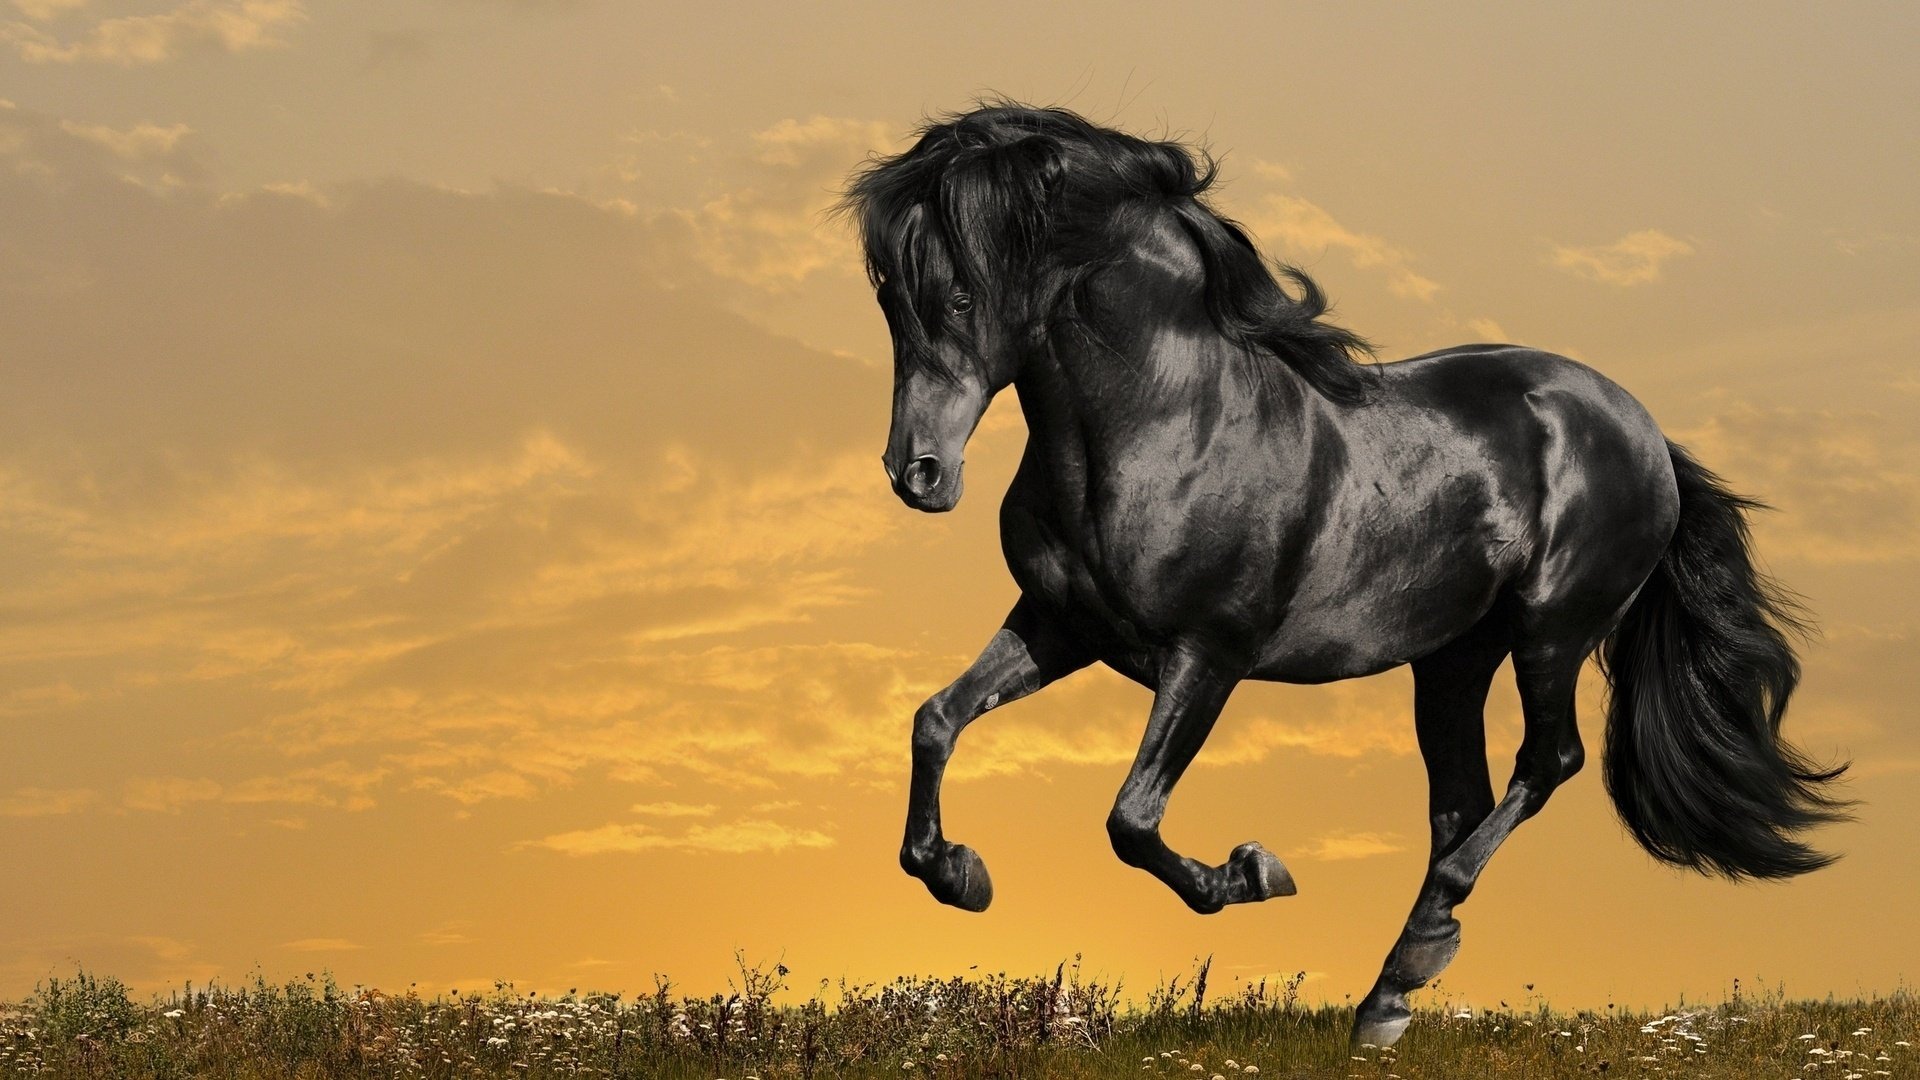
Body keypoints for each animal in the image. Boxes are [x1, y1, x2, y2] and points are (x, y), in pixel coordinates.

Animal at [839, 102, 1848, 1047]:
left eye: (960, 296)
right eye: (889, 298)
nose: (917, 473)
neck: (1166, 425)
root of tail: (1642, 432)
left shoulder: (1208, 656)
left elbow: (1132, 819)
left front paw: (1252, 872)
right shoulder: (1061, 626)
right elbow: (936, 721)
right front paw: (960, 875)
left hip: (1550, 633)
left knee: (1546, 762)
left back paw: (1415, 955)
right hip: (1452, 660)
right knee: (1461, 802)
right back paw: (1388, 998)